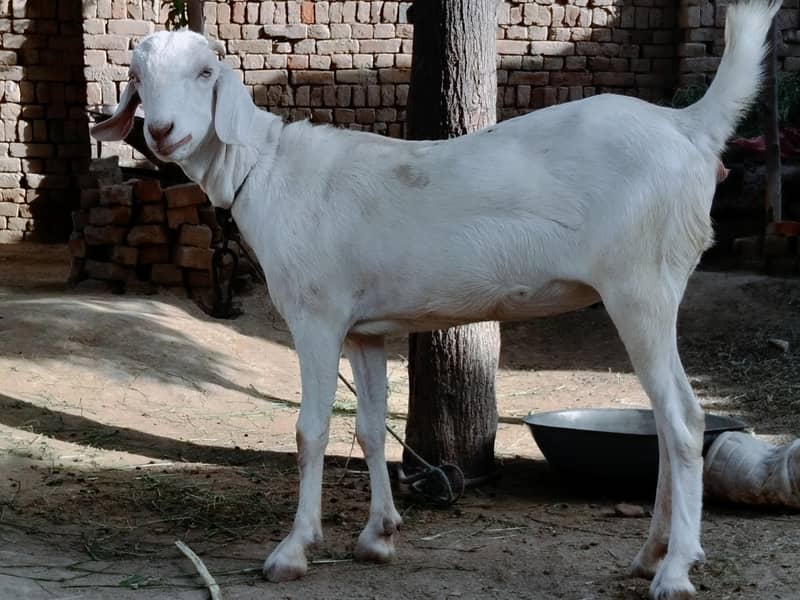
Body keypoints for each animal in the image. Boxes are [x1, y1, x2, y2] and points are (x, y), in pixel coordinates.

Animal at [91, 2, 780, 597]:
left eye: (205, 73)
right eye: (138, 77)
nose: (163, 132)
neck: (268, 170)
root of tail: (687, 126)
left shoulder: (316, 317)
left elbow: (311, 430)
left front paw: (293, 550)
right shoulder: (363, 328)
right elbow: (369, 427)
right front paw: (378, 535)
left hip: (642, 285)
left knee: (685, 422)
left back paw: (675, 572)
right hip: (648, 289)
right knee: (666, 423)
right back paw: (650, 555)